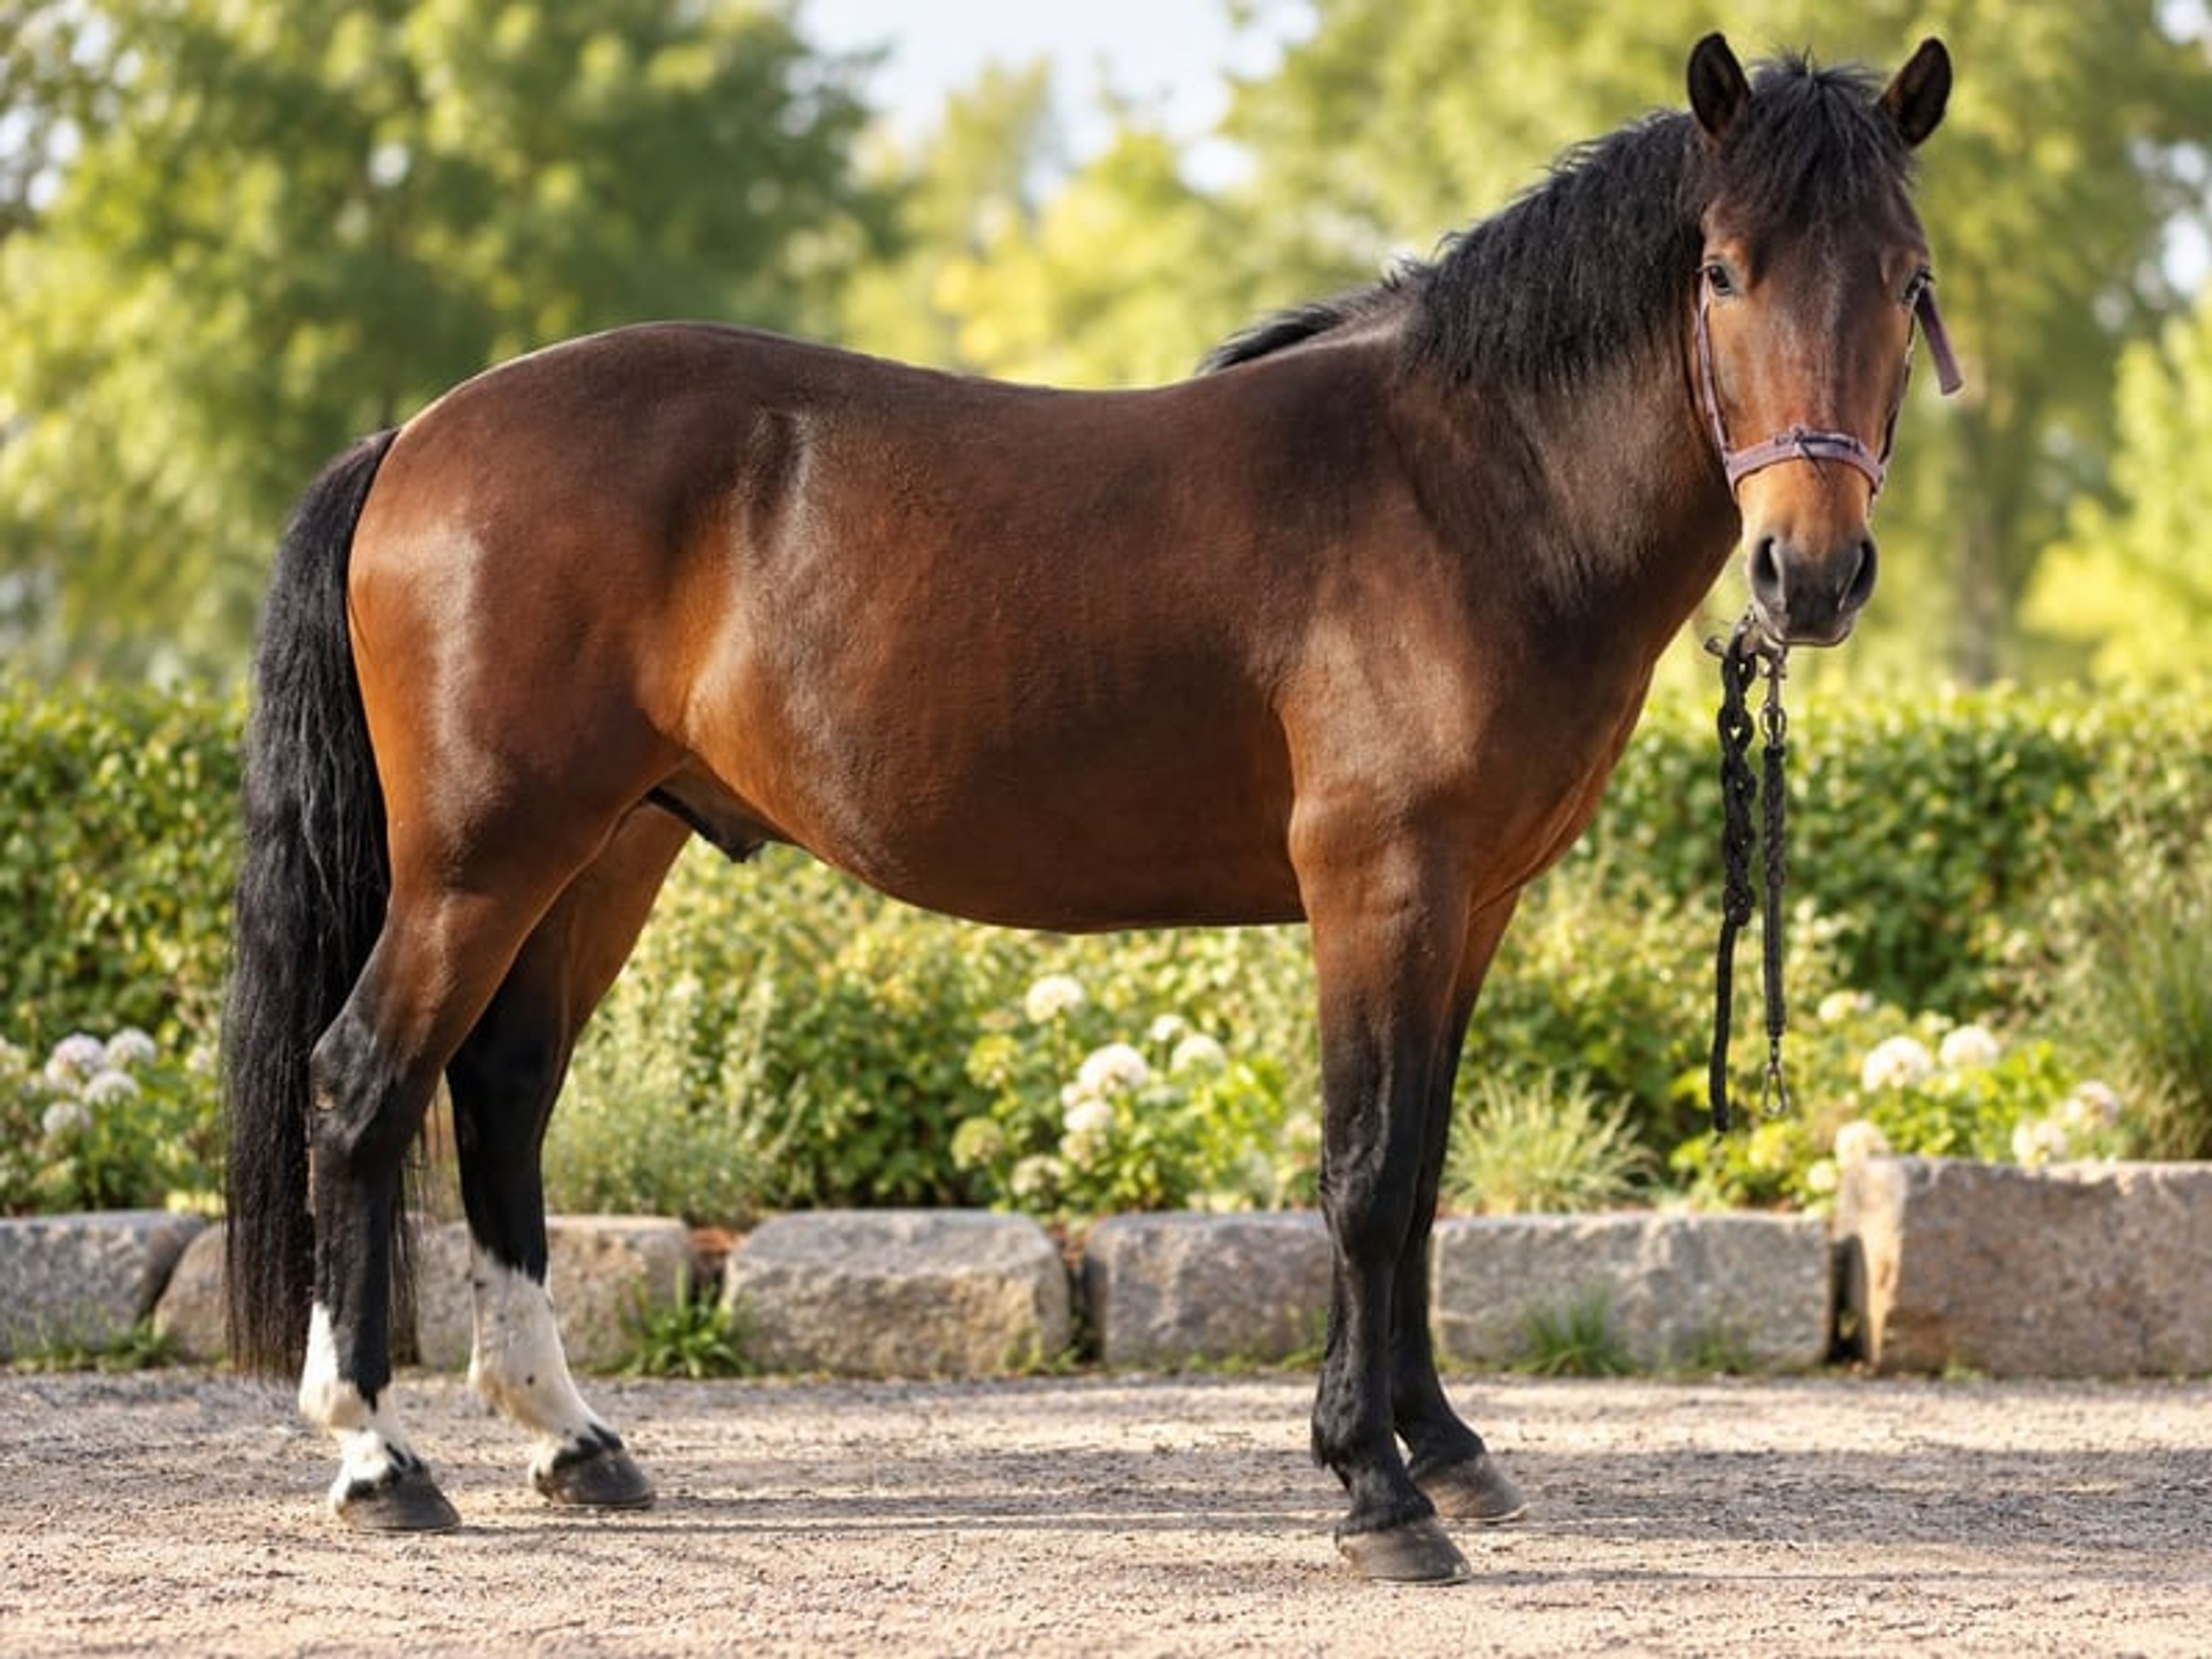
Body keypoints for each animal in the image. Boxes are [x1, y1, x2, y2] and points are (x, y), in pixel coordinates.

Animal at [224, 33, 1956, 1583]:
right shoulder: (1381, 885)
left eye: (1903, 274)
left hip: (606, 849)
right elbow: (1366, 1173)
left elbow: (1423, 1172)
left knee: (502, 1092)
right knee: (361, 1085)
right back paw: (377, 1458)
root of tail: (418, 437)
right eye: (1722, 271)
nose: (1810, 573)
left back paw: (572, 1439)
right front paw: (1374, 1490)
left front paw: (1444, 1447)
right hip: (482, 859)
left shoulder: (1475, 903)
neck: (1466, 486)